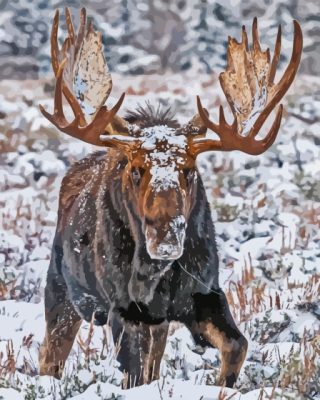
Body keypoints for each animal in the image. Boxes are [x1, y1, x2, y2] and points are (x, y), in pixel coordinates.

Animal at [38, 7, 302, 388]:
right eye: (135, 169)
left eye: (189, 170)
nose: (165, 236)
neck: (157, 279)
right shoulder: (123, 307)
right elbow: (133, 373)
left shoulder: (204, 293)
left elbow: (237, 344)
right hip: (60, 291)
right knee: (50, 356)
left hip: (156, 323)